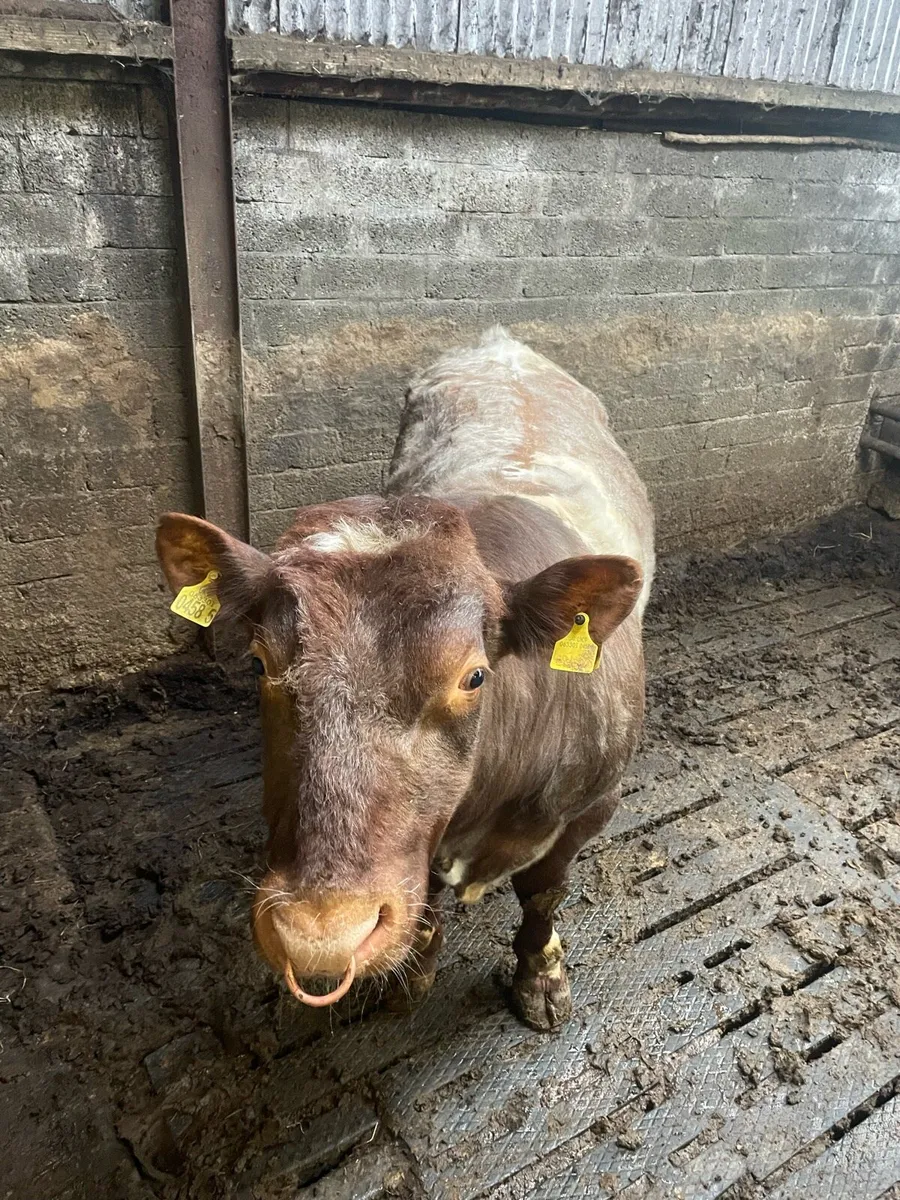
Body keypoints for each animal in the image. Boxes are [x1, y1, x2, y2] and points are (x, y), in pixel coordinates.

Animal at [156, 328, 654, 1031]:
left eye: (474, 676)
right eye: (259, 662)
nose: (320, 933)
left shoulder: (592, 803)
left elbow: (543, 894)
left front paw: (541, 975)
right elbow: (427, 904)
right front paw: (414, 971)